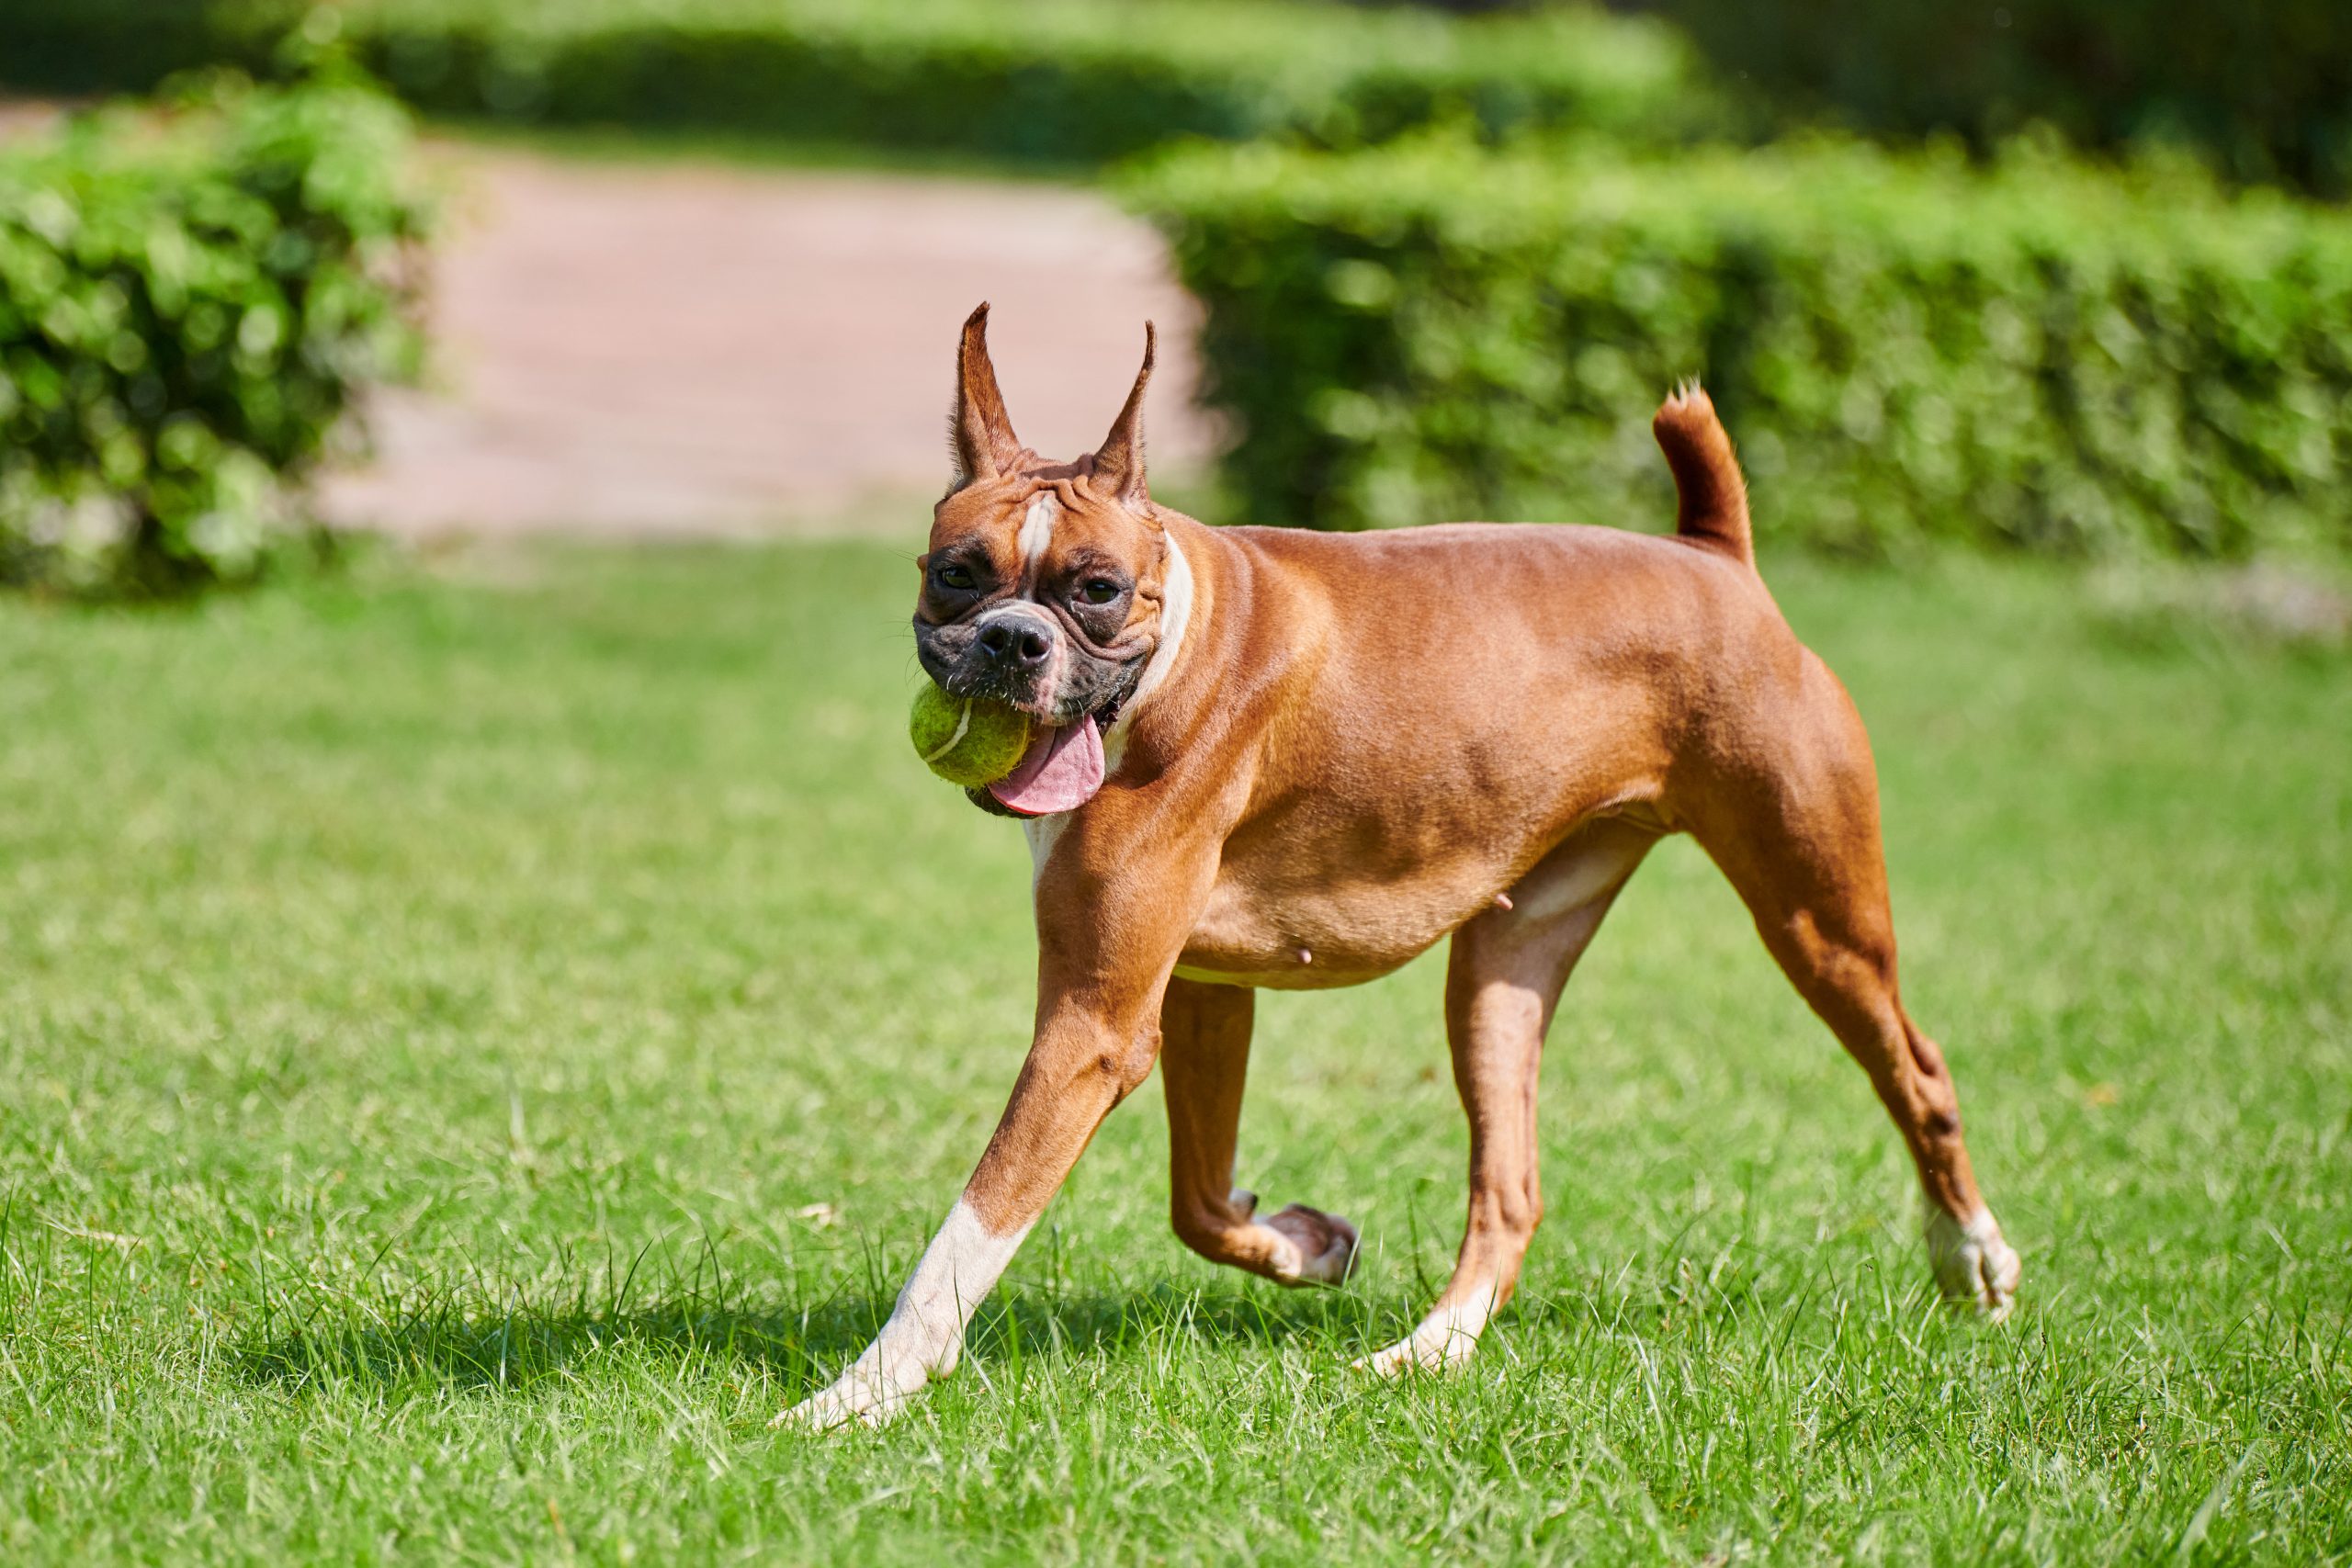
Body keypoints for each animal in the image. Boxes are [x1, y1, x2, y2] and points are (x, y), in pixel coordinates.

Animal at [775, 305, 2022, 1438]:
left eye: (1093, 589)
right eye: (957, 574)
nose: (1011, 642)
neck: (1175, 640)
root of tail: (1716, 559)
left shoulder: (1090, 1028)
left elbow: (972, 1228)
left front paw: (860, 1396)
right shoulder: (1196, 995)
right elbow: (1197, 1195)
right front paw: (1301, 1244)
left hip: (1816, 921)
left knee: (1918, 1072)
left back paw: (1971, 1261)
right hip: (1498, 977)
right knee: (1510, 1189)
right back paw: (1431, 1351)